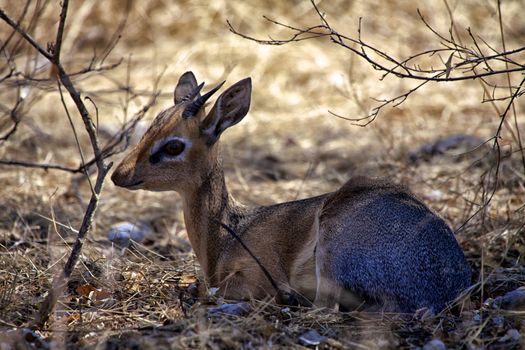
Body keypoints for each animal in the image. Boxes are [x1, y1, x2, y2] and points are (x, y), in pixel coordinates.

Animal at [111, 71, 470, 312]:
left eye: (173, 145)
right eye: (151, 126)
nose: (119, 174)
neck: (227, 233)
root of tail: (449, 283)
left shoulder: (254, 277)